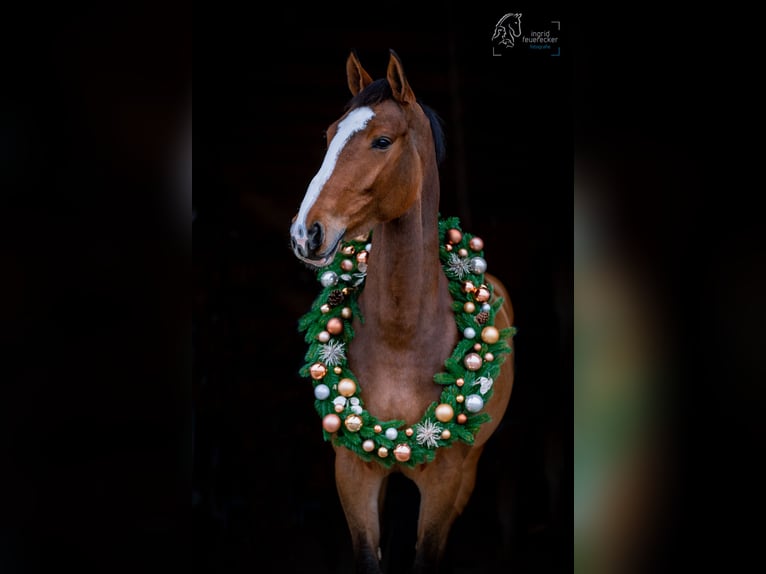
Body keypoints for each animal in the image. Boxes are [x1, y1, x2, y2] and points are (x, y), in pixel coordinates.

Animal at [292, 50, 520, 574]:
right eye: (329, 135)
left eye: (381, 141)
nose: (305, 233)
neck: (402, 339)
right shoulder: (354, 473)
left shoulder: (443, 484)